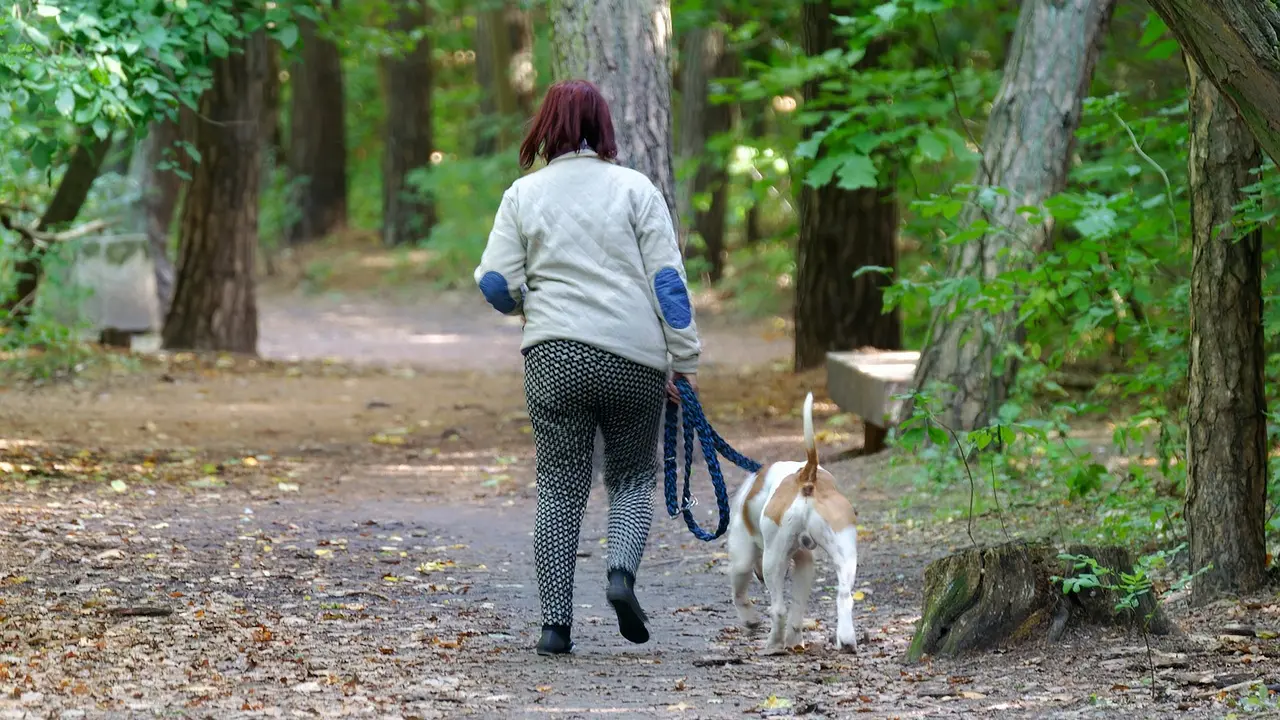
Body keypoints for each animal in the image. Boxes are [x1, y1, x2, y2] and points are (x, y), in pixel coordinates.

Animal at [726, 392, 859, 654]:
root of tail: (807, 476)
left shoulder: (743, 558)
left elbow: (739, 593)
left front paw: (749, 620)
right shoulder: (805, 561)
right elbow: (798, 608)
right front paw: (795, 639)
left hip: (772, 560)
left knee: (778, 609)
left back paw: (773, 645)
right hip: (845, 551)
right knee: (844, 596)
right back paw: (845, 640)